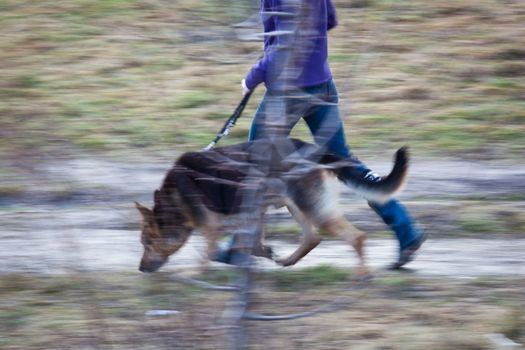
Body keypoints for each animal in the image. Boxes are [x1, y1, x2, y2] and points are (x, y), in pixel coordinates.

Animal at [136, 137, 410, 274]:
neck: (173, 200)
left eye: (147, 243)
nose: (140, 269)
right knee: (312, 238)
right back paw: (288, 261)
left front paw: (198, 277)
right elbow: (253, 245)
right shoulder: (254, 213)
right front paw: (266, 253)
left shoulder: (214, 228)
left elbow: (210, 254)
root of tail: (317, 151)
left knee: (357, 237)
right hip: (296, 207)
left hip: (313, 210)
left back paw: (362, 277)